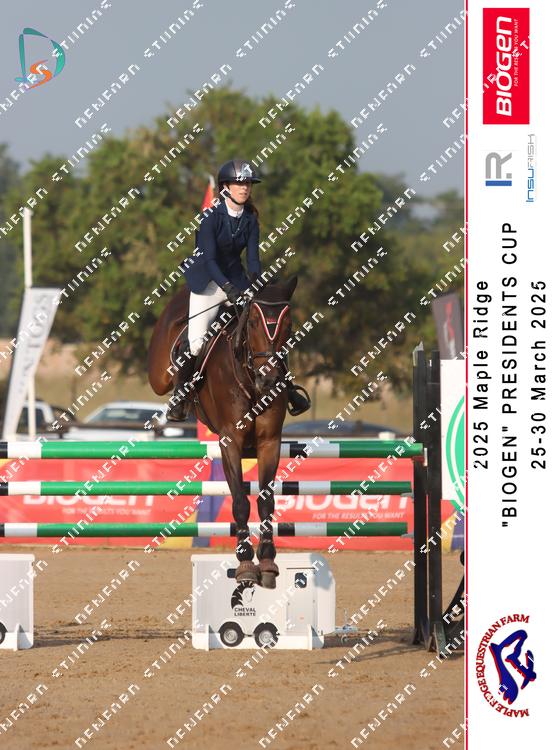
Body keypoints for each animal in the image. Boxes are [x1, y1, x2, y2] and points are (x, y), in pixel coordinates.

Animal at [147, 276, 298, 588]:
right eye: (252, 322)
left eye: (289, 325)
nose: (270, 380)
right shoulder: (230, 441)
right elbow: (240, 502)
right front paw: (245, 563)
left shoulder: (269, 443)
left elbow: (265, 500)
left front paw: (267, 561)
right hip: (159, 375)